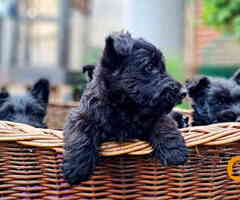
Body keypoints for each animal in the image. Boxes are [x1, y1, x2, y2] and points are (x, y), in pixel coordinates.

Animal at [63, 32, 188, 185]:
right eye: (149, 67)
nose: (183, 92)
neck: (125, 106)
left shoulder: (157, 114)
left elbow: (164, 124)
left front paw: (174, 152)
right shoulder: (81, 115)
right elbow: (81, 131)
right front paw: (77, 167)